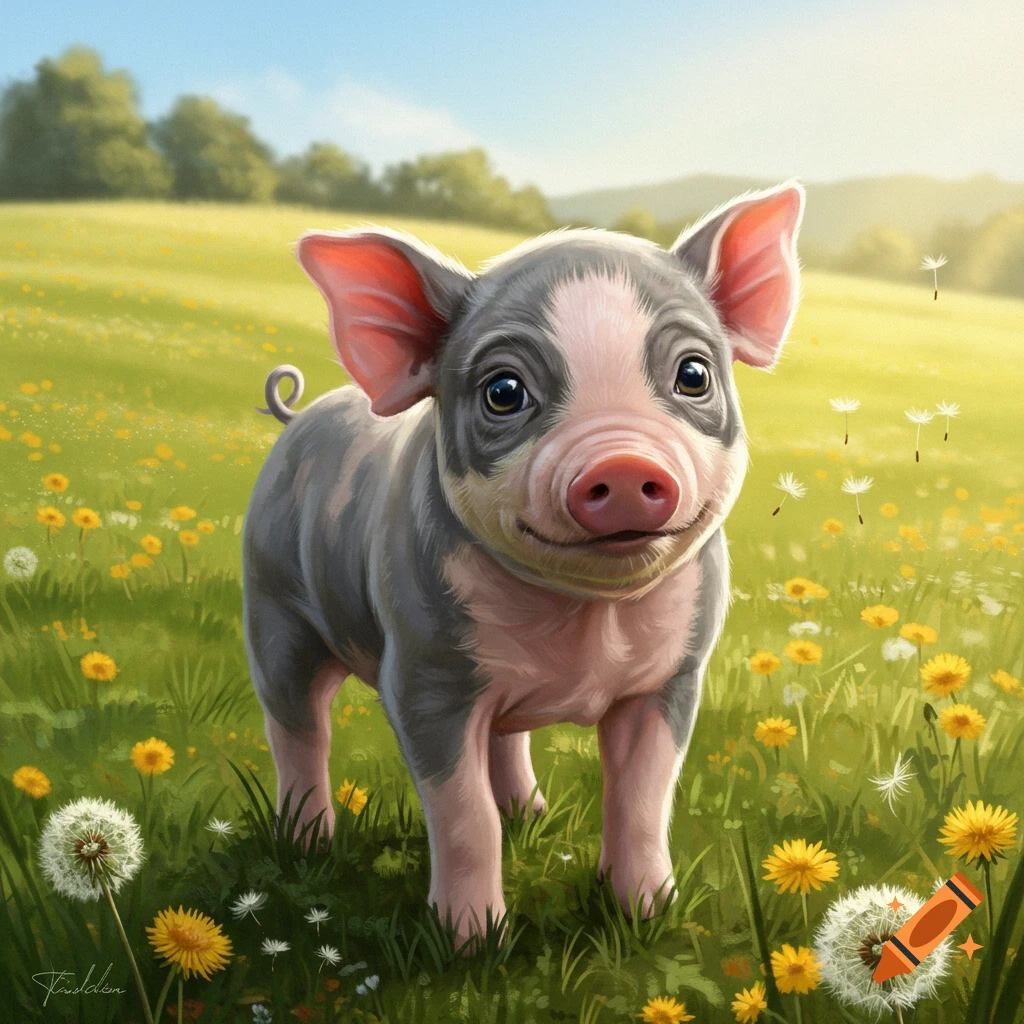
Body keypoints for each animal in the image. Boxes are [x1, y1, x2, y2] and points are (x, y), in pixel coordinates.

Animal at [242, 182, 804, 944]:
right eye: (503, 391)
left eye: (694, 374)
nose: (622, 464)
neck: (584, 620)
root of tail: (300, 416)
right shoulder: (422, 676)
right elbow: (463, 815)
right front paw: (472, 944)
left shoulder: (674, 676)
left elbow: (641, 799)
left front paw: (647, 916)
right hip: (272, 605)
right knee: (297, 725)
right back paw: (308, 845)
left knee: (504, 742)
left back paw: (530, 816)